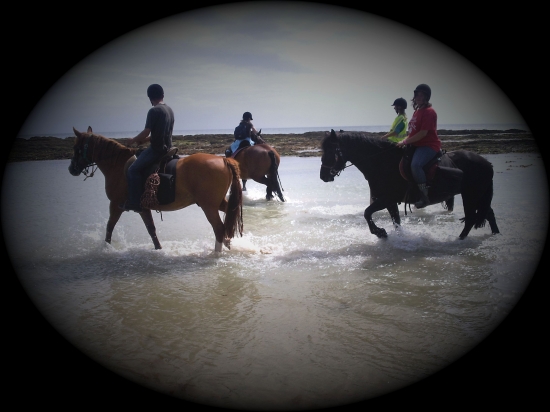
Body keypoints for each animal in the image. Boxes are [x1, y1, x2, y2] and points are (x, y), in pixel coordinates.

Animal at [67, 127, 244, 253]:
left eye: (76, 147)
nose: (71, 169)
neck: (118, 164)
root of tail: (223, 160)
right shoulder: (143, 208)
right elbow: (151, 230)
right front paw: (158, 249)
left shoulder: (117, 205)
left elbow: (110, 226)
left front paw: (106, 248)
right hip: (218, 203)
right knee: (228, 221)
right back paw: (227, 245)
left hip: (209, 207)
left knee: (219, 229)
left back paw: (217, 253)